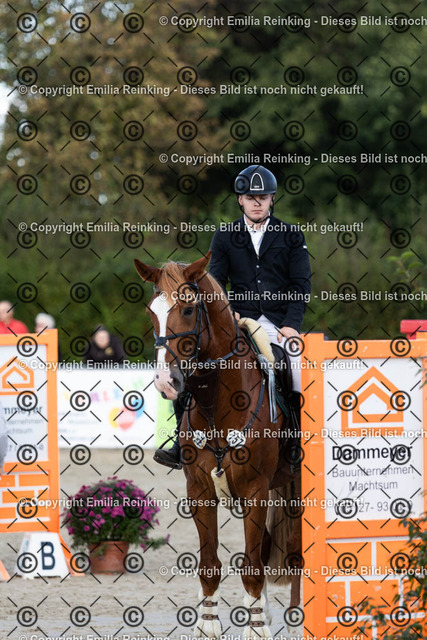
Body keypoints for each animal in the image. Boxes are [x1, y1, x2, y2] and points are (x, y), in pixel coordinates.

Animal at [135, 252, 302, 640]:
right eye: (151, 311)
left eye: (189, 309)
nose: (165, 382)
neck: (219, 405)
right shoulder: (199, 490)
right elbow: (210, 564)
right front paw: (209, 625)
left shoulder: (255, 490)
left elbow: (252, 566)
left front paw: (255, 630)